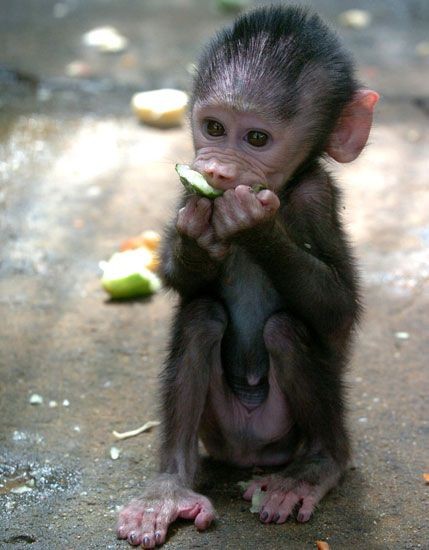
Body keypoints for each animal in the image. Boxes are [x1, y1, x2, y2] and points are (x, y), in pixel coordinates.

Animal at [117, 5, 378, 550]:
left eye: (256, 138)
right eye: (214, 127)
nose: (215, 171)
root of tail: (250, 454)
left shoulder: (316, 197)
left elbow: (339, 310)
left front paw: (258, 227)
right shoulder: (185, 190)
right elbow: (181, 278)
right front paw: (199, 238)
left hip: (284, 430)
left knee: (285, 330)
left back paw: (315, 467)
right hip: (216, 427)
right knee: (200, 316)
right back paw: (167, 490)